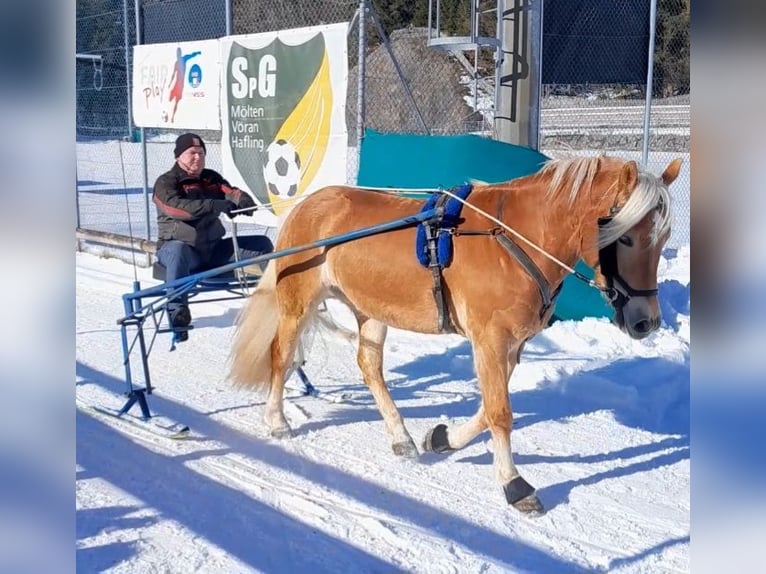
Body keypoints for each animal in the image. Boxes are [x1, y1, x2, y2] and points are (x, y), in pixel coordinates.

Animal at [229, 155, 683, 514]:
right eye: (625, 237)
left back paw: (401, 437)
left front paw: (443, 439)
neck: (514, 238)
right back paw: (277, 420)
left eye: (662, 238)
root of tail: (308, 203)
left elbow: (488, 408)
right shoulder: (490, 339)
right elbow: (500, 413)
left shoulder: (511, 345)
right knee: (281, 354)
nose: (646, 322)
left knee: (369, 366)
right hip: (298, 302)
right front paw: (514, 484)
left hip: (372, 310)